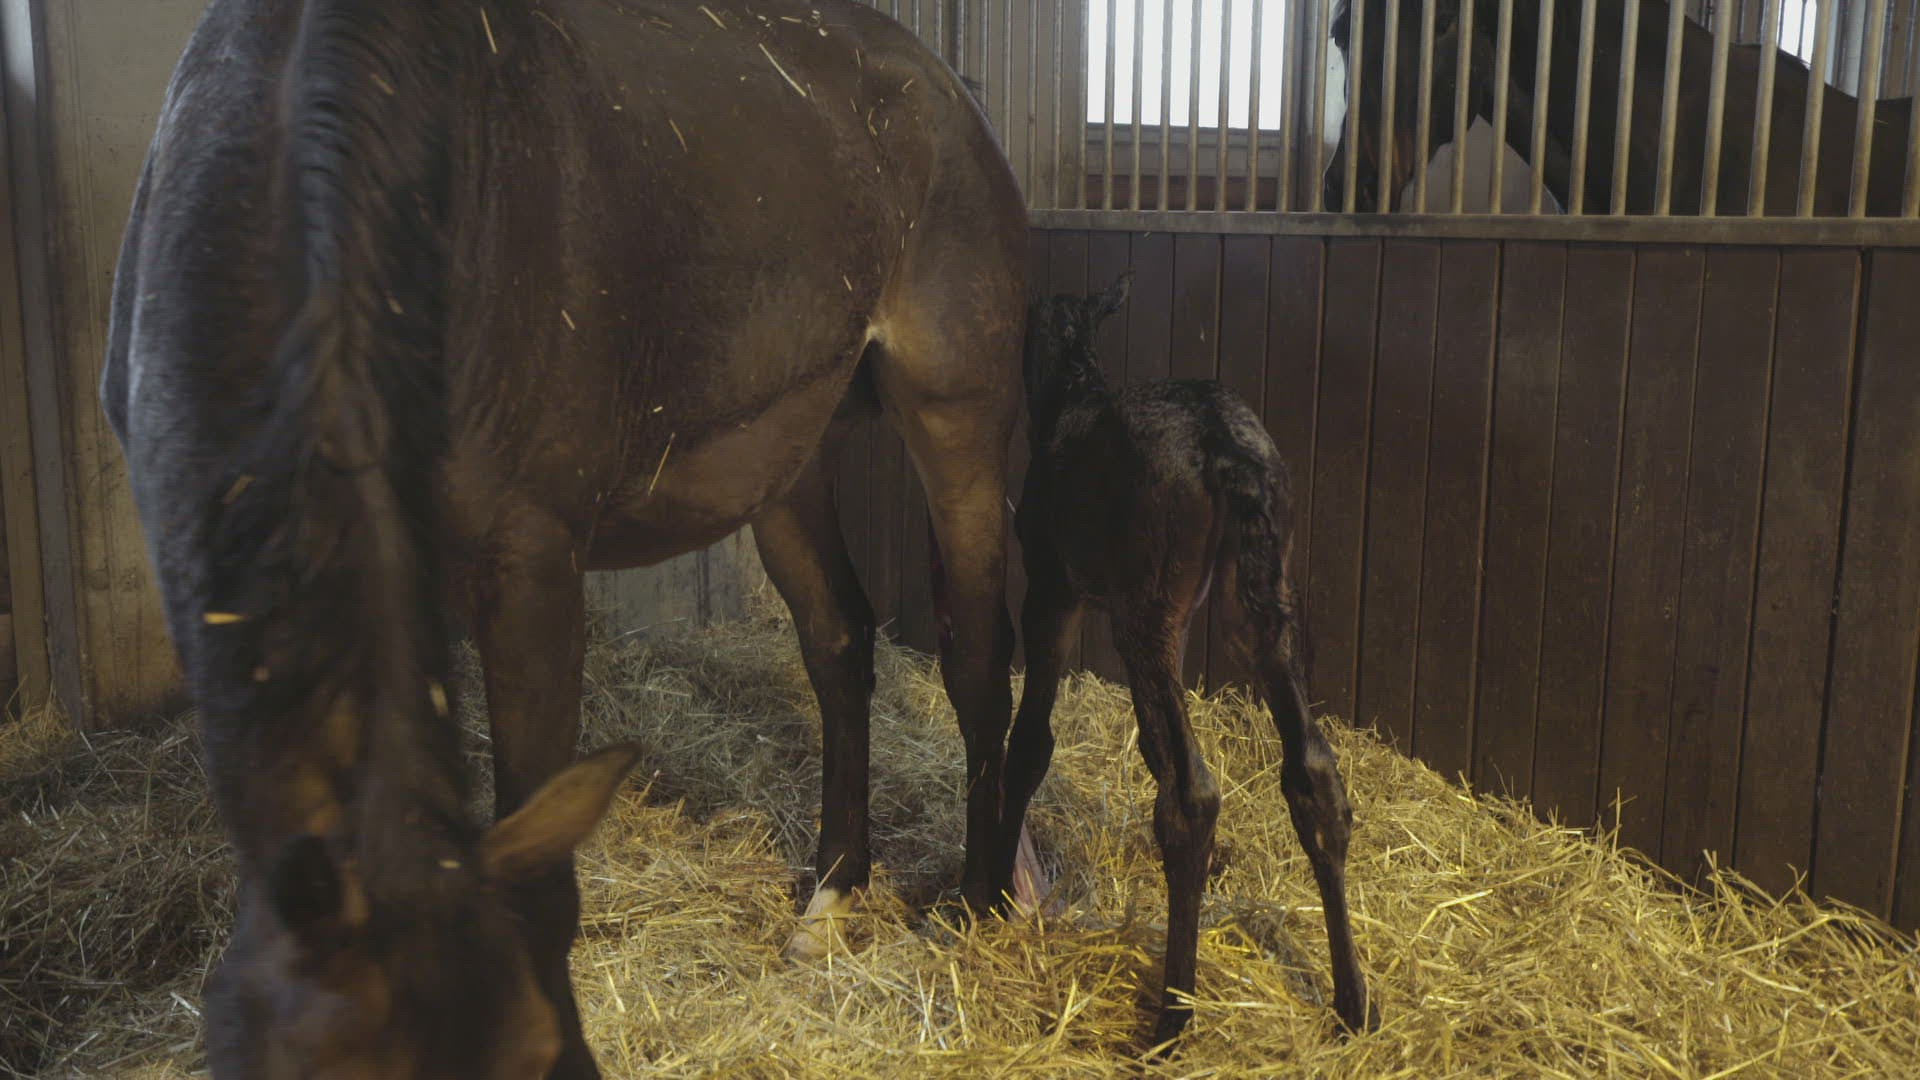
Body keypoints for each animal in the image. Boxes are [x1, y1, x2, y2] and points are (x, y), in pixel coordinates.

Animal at [100, 1, 1028, 1075]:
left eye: (543, 1052)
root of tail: (942, 81)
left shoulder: (529, 563)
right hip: (790, 456)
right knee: (838, 642)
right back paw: (832, 897)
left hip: (959, 418)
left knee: (975, 656)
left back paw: (977, 905)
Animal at [1010, 275, 1376, 1048]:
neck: (1070, 396)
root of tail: (1226, 450)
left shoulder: (1053, 591)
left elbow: (1031, 741)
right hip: (1258, 605)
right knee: (1314, 775)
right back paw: (1354, 1001)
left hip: (1146, 611)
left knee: (1190, 795)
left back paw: (1172, 1017)